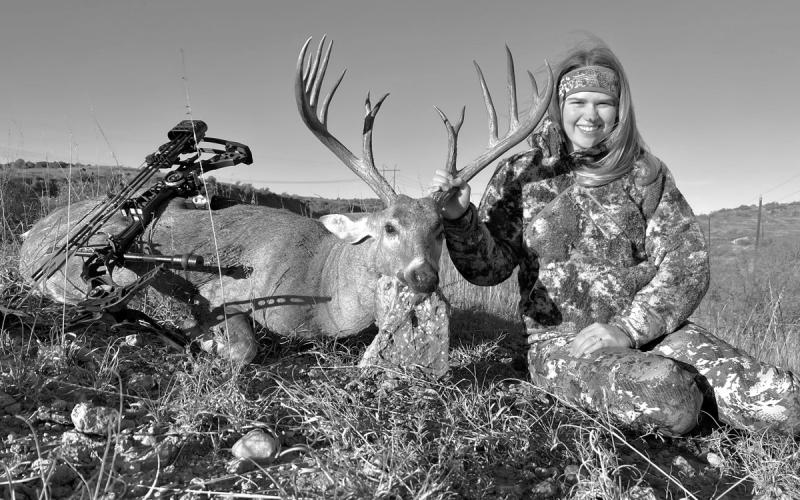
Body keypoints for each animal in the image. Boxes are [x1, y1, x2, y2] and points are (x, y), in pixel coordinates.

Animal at [17, 36, 552, 371]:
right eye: (388, 227)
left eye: (440, 228)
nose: (424, 277)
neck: (323, 288)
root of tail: (30, 236)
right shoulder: (226, 293)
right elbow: (244, 348)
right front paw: (203, 340)